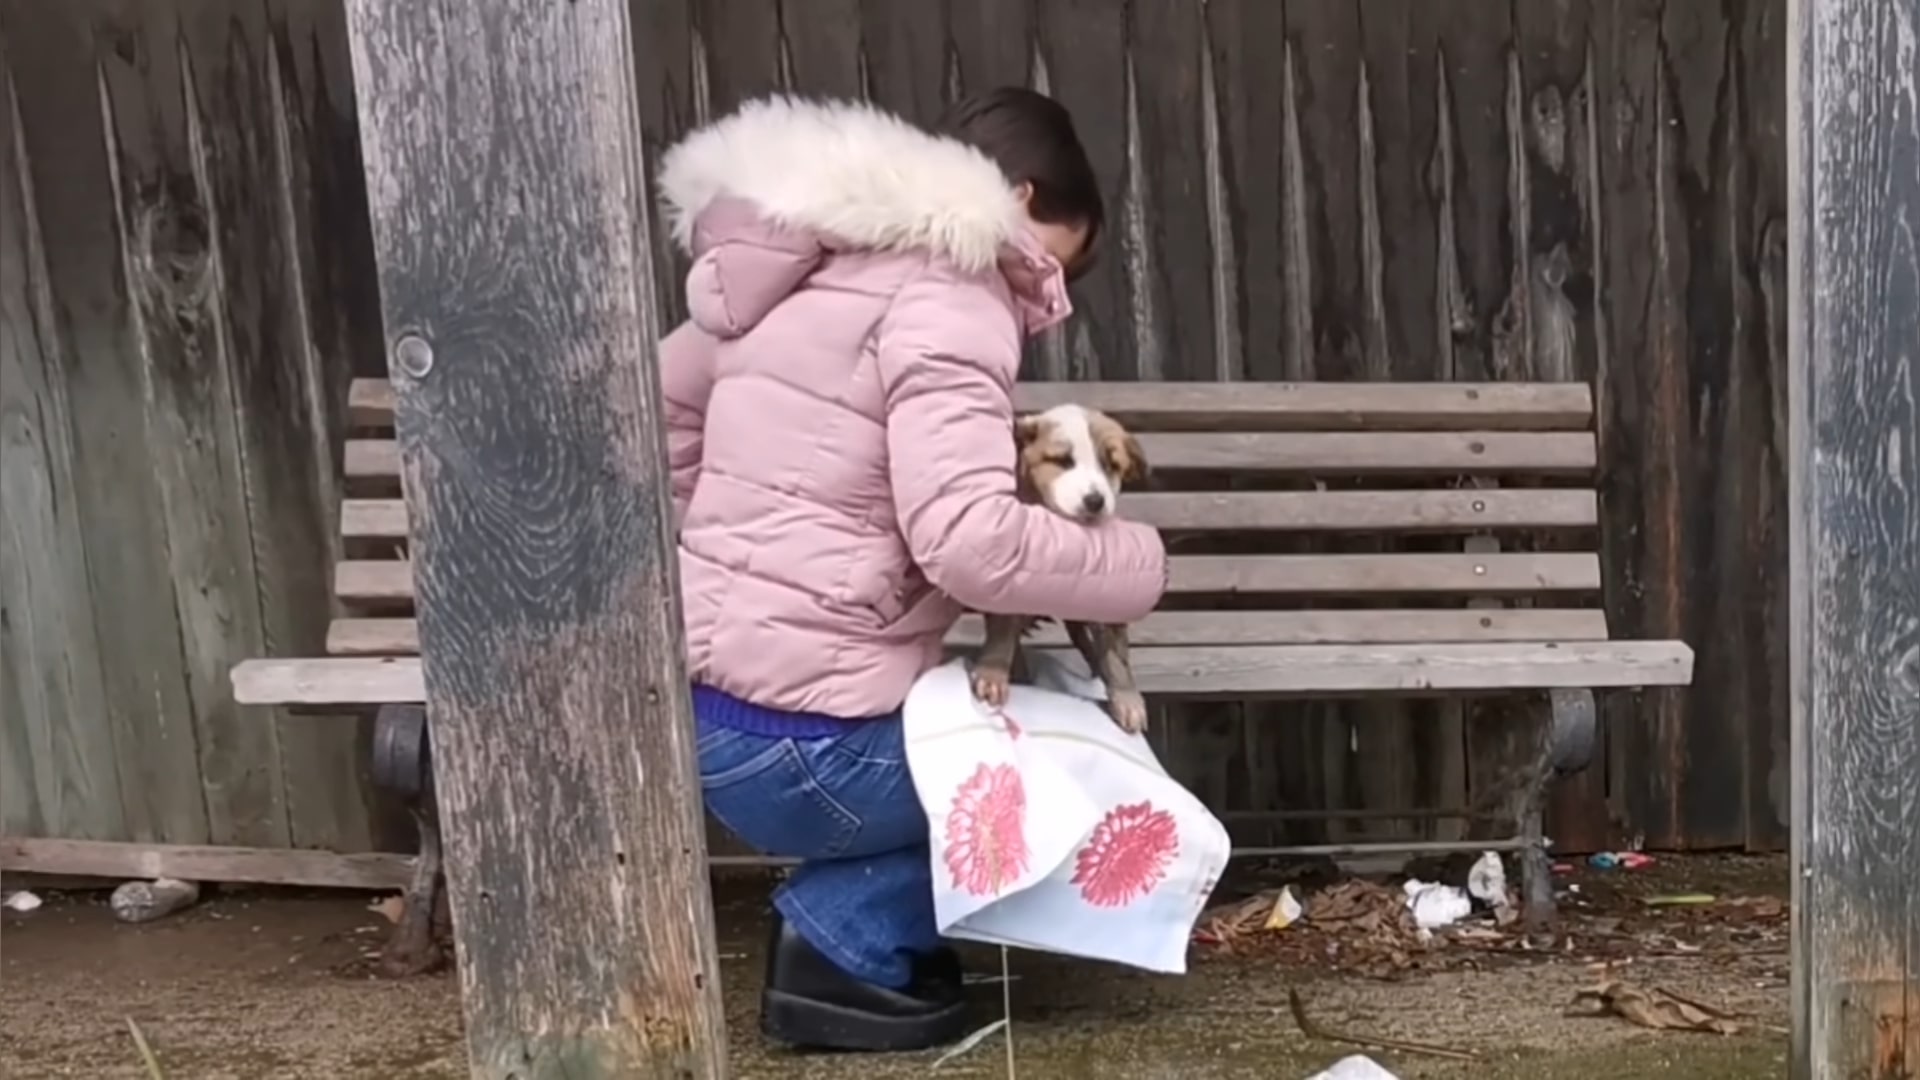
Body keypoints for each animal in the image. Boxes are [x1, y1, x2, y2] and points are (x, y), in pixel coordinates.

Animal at [975, 403, 1152, 730]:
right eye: (1061, 461)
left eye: (1112, 465)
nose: (1095, 500)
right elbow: (1003, 630)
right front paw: (993, 675)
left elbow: (1115, 653)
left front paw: (1127, 700)